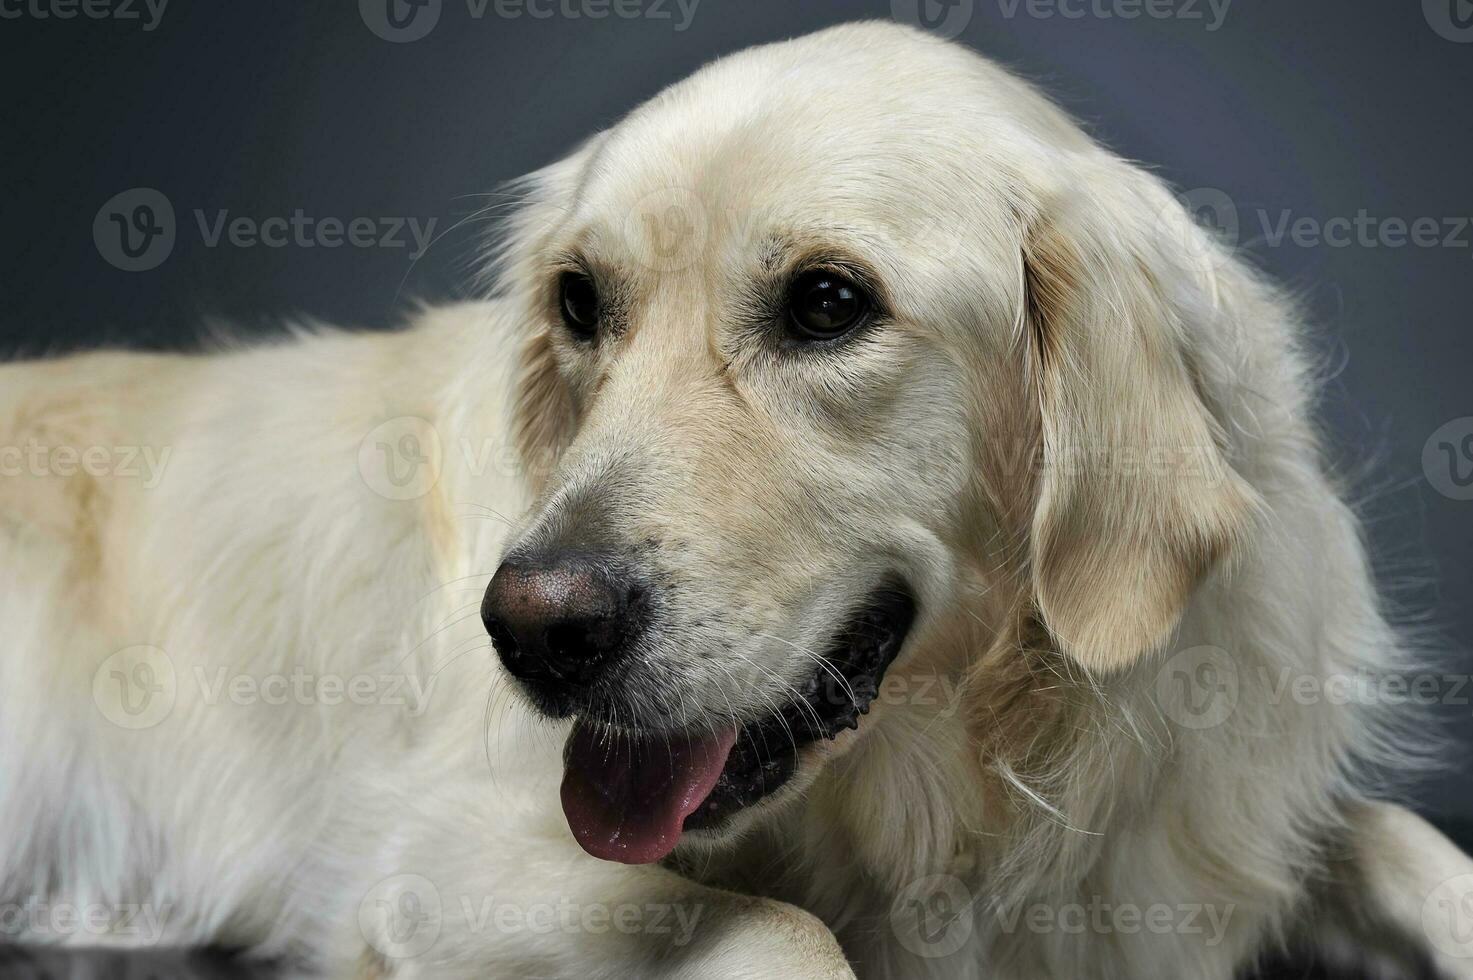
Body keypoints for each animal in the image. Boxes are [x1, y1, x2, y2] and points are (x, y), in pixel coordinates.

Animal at [2, 22, 1473, 978]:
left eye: (827, 303)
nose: (535, 630)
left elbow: (1398, 839)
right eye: (578, 303)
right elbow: (791, 930)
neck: (969, 769)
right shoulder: (429, 856)